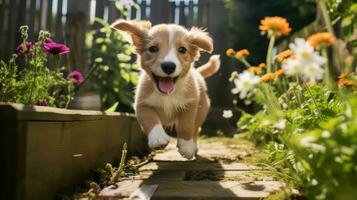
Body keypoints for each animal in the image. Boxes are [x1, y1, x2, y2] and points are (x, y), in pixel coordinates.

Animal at [111, 19, 218, 159]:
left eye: (182, 49)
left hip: (201, 111)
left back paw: (194, 146)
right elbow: (150, 120)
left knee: (196, 129)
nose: (168, 66)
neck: (167, 95)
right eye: (153, 48)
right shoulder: (142, 105)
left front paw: (187, 146)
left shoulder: (190, 106)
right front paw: (158, 139)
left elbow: (187, 126)